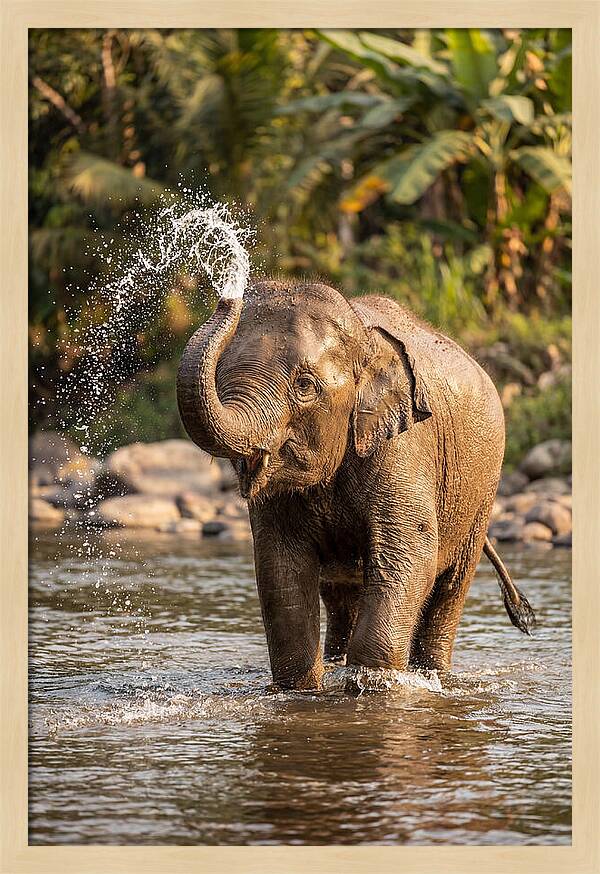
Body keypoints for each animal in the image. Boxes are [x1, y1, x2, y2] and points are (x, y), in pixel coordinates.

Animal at [177, 280, 535, 690]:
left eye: (305, 386)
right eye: (220, 375)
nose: (227, 296)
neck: (363, 338)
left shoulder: (403, 447)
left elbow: (410, 553)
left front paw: (372, 683)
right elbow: (280, 567)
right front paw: (303, 688)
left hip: (481, 494)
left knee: (449, 588)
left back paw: (432, 673)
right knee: (340, 594)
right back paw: (337, 661)